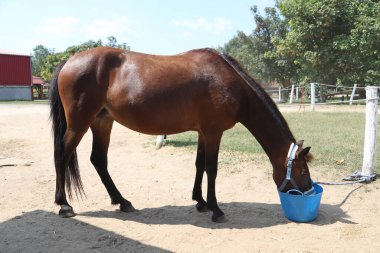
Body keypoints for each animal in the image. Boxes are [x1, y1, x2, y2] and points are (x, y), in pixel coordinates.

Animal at [49, 47, 314, 221]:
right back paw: (64, 204)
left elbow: (199, 165)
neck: (228, 81)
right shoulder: (214, 132)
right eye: (302, 171)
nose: (308, 192)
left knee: (98, 160)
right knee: (62, 155)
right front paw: (216, 209)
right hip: (79, 124)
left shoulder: (203, 132)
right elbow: (211, 169)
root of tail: (68, 61)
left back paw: (123, 202)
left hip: (102, 122)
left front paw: (201, 202)